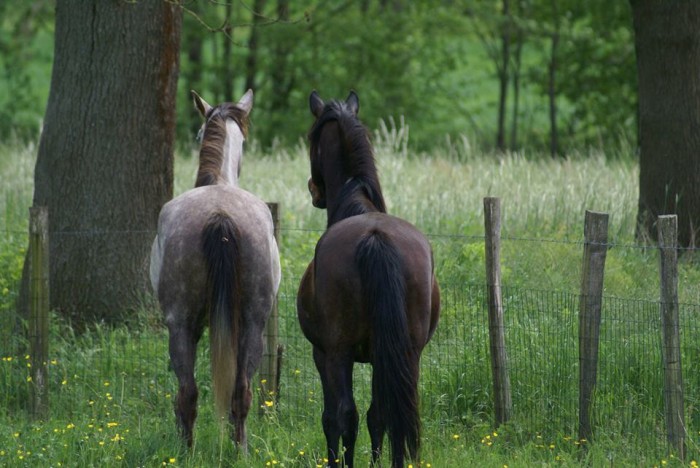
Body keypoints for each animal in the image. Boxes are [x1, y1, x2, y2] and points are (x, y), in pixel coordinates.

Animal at [150, 89, 278, 452]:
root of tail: (220, 215)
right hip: (252, 323)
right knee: (240, 392)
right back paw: (240, 451)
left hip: (181, 324)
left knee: (187, 394)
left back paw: (186, 451)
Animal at [298, 91, 440, 468]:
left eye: (311, 140)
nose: (314, 191)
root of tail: (376, 237)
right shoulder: (383, 354)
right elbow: (379, 416)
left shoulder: (322, 353)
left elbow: (332, 418)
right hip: (407, 352)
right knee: (396, 412)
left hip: (338, 353)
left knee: (345, 414)